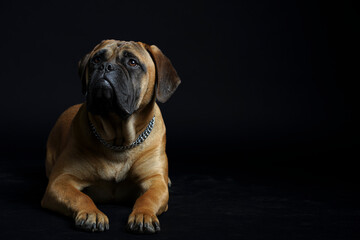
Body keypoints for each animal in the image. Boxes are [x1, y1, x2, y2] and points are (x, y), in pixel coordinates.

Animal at [41, 39, 181, 232]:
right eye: (96, 59)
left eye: (132, 62)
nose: (106, 67)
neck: (119, 140)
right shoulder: (60, 181)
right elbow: (81, 196)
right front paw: (92, 213)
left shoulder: (154, 182)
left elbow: (148, 198)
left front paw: (143, 214)